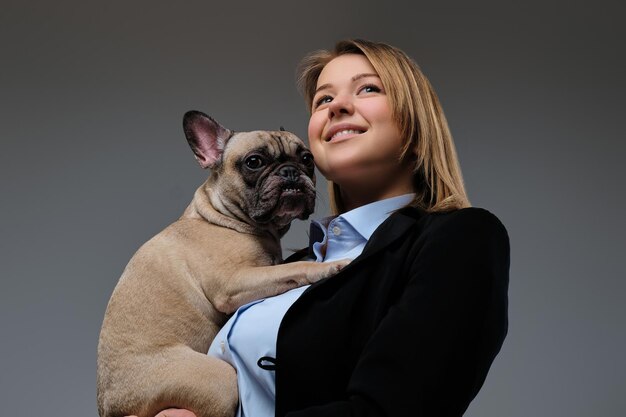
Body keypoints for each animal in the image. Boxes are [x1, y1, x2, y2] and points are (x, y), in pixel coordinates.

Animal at [100, 110, 348, 416]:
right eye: (254, 162)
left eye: (307, 159)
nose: (290, 171)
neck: (223, 218)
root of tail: (114, 406)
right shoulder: (234, 283)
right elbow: (292, 268)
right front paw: (328, 266)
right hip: (220, 381)